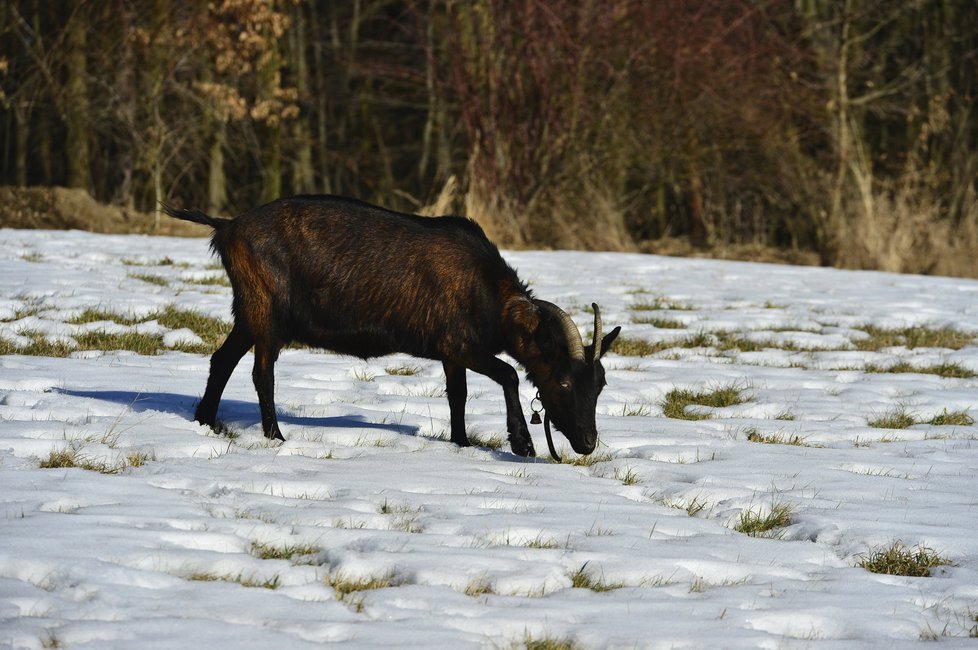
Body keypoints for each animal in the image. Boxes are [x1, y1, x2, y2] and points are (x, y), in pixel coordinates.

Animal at [160, 196, 616, 456]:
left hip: (249, 313)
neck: (484, 288)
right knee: (261, 372)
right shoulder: (459, 344)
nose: (588, 443)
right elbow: (507, 373)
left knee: (222, 360)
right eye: (563, 381)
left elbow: (458, 395)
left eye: (600, 384)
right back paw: (275, 437)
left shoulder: (451, 352)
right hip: (267, 310)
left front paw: (461, 443)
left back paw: (205, 421)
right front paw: (521, 443)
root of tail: (227, 226)